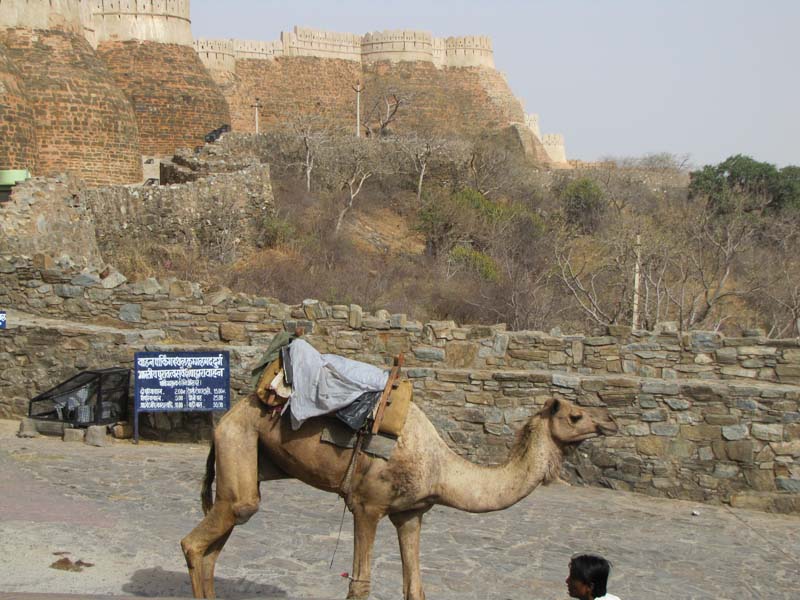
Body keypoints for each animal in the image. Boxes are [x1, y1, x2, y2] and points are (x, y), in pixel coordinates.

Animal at [181, 394, 620, 600]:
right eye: (575, 415)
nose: (611, 421)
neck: (439, 468)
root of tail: (229, 414)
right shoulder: (367, 506)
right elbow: (360, 585)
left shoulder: (410, 513)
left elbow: (415, 589)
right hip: (238, 441)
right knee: (199, 540)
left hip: (249, 461)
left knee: (217, 541)